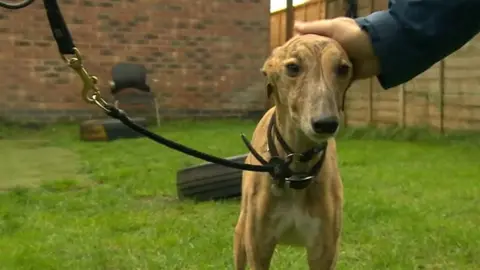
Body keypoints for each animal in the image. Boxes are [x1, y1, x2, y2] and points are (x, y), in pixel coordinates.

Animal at [234, 34, 354, 270]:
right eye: (293, 67)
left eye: (343, 68)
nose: (326, 124)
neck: (296, 168)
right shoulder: (258, 247)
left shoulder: (324, 251)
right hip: (241, 233)